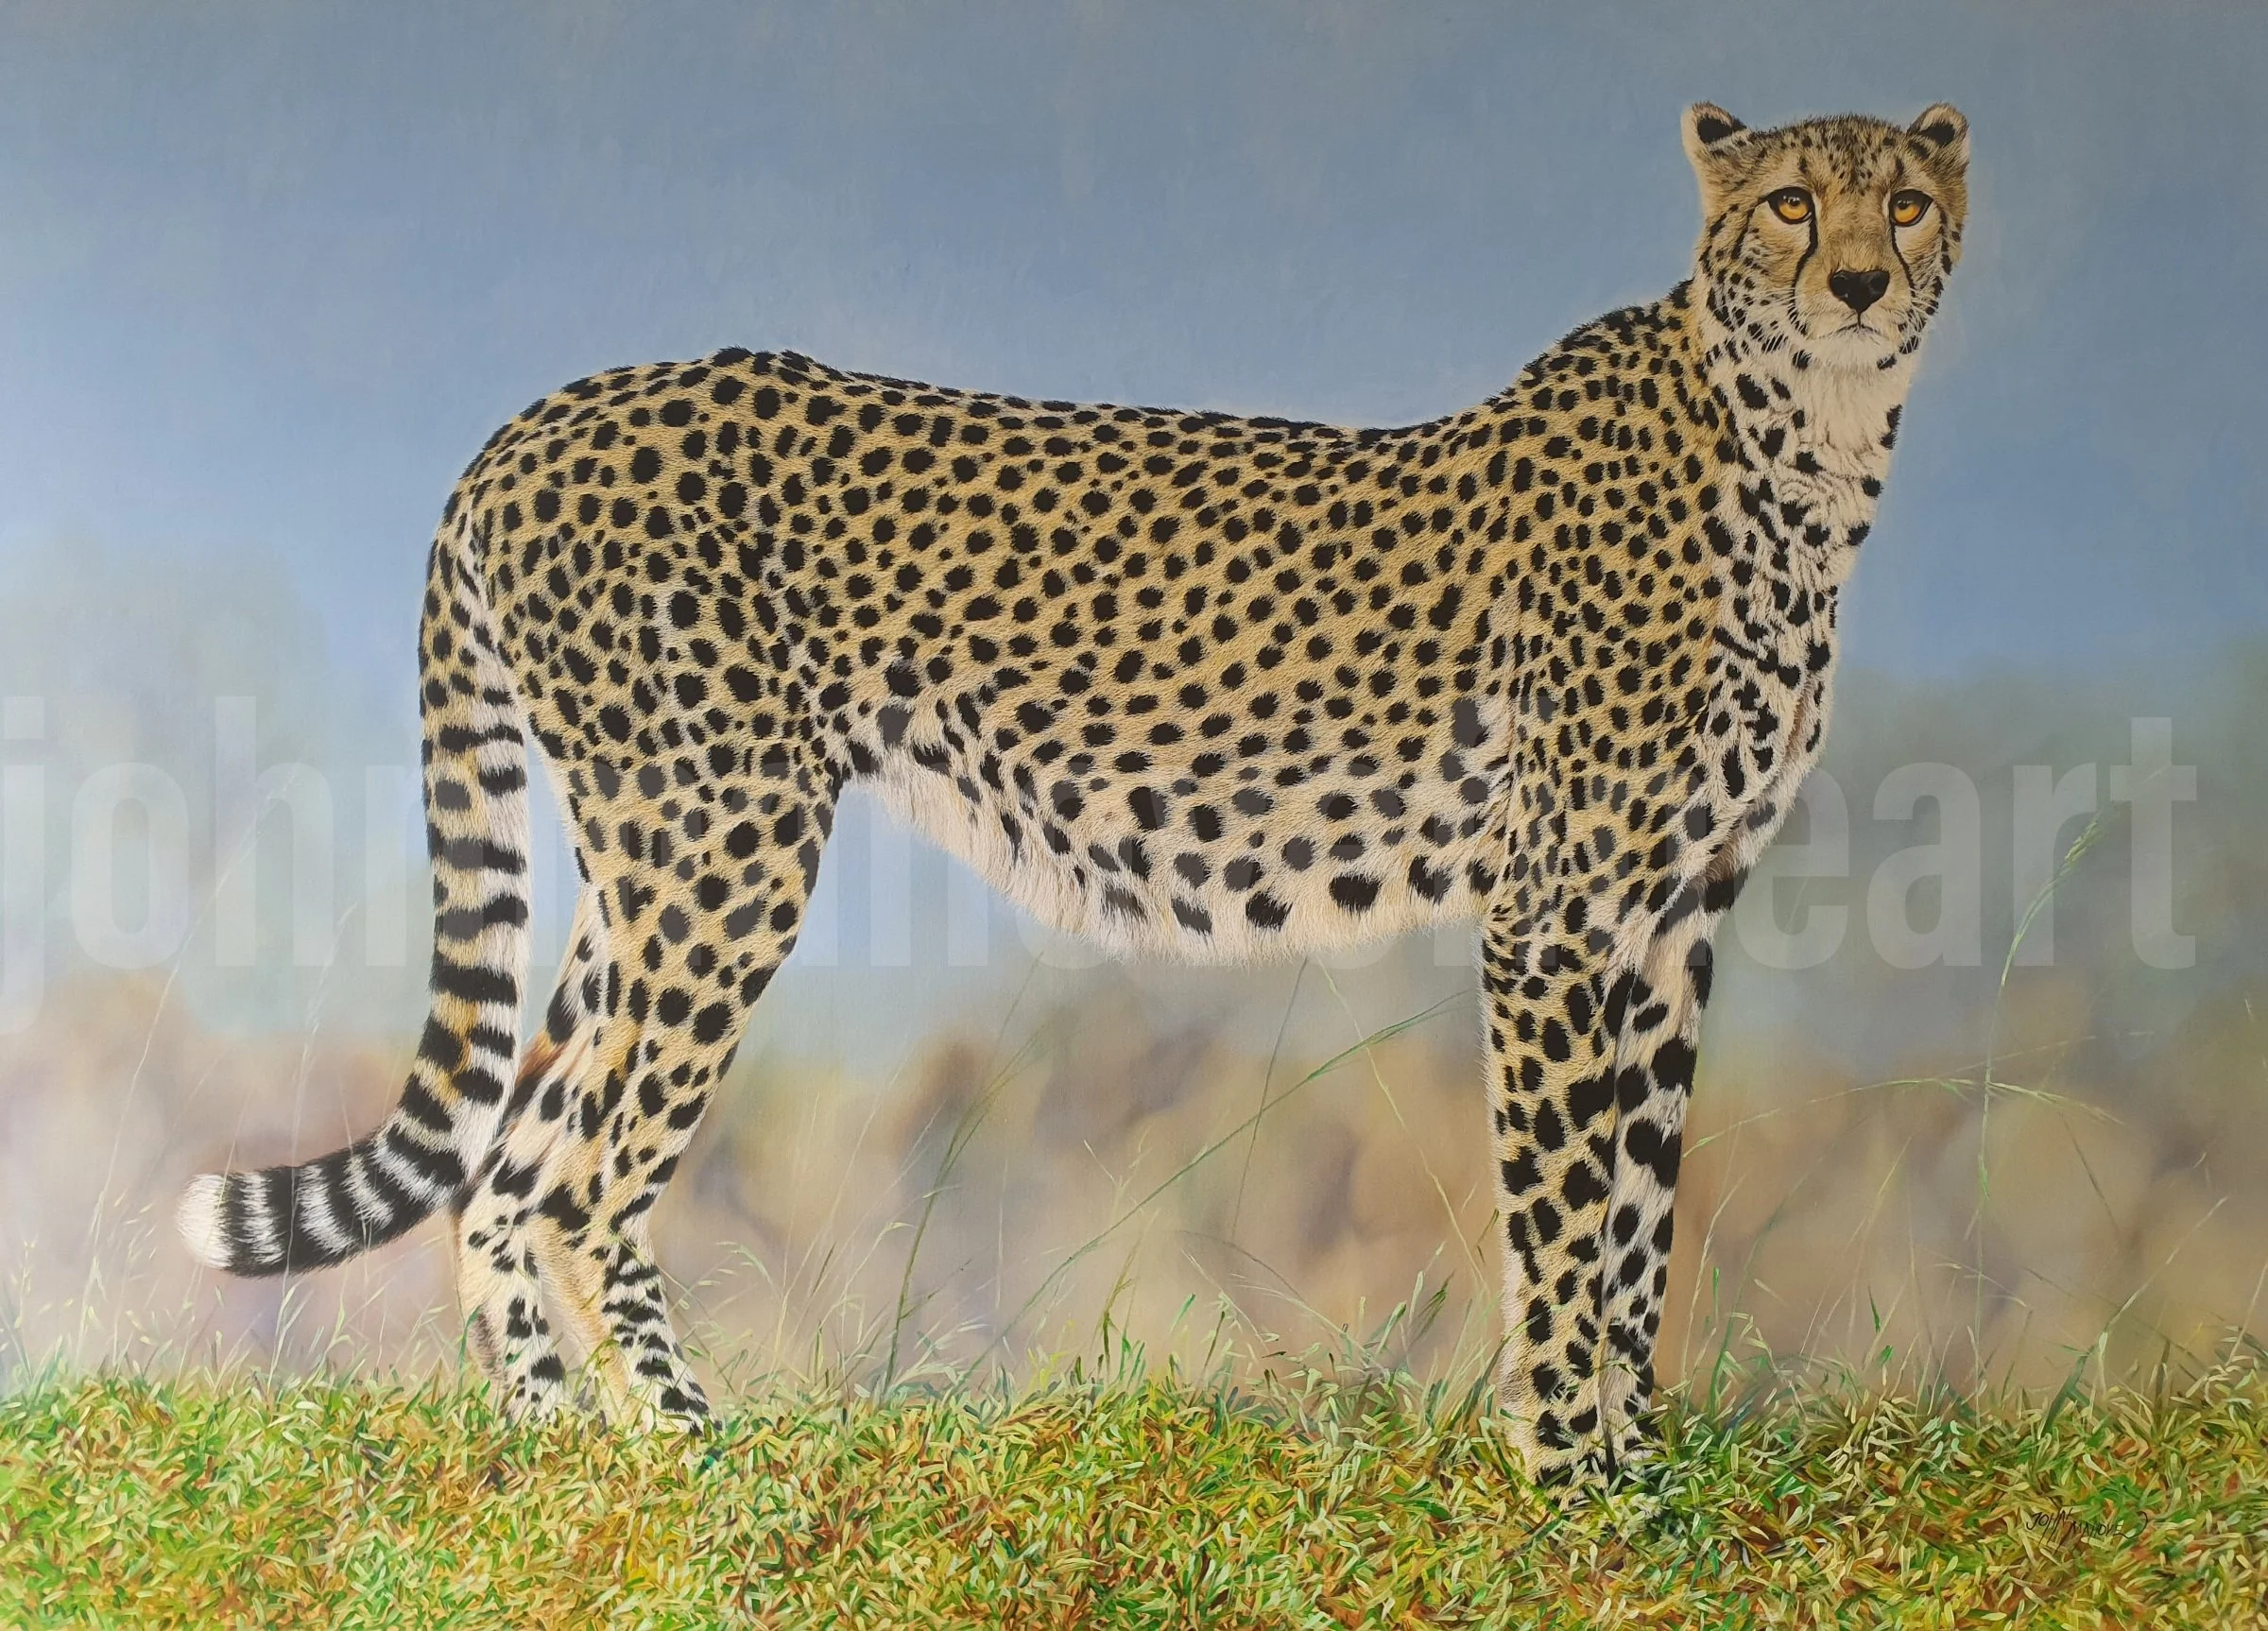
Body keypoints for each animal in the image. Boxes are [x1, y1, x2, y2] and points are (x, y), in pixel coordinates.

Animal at [179, 101, 1969, 1487]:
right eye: (1792, 201)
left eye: (1907, 197)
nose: (1859, 281)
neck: (1797, 457)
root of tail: (546, 409)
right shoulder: (1554, 917)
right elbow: (1562, 1217)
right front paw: (1568, 1485)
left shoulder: (1674, 922)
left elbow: (1645, 1220)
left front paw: (1646, 1478)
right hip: (725, 846)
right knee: (582, 1176)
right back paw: (691, 1453)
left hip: (648, 869)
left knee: (503, 1167)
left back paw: (559, 1459)